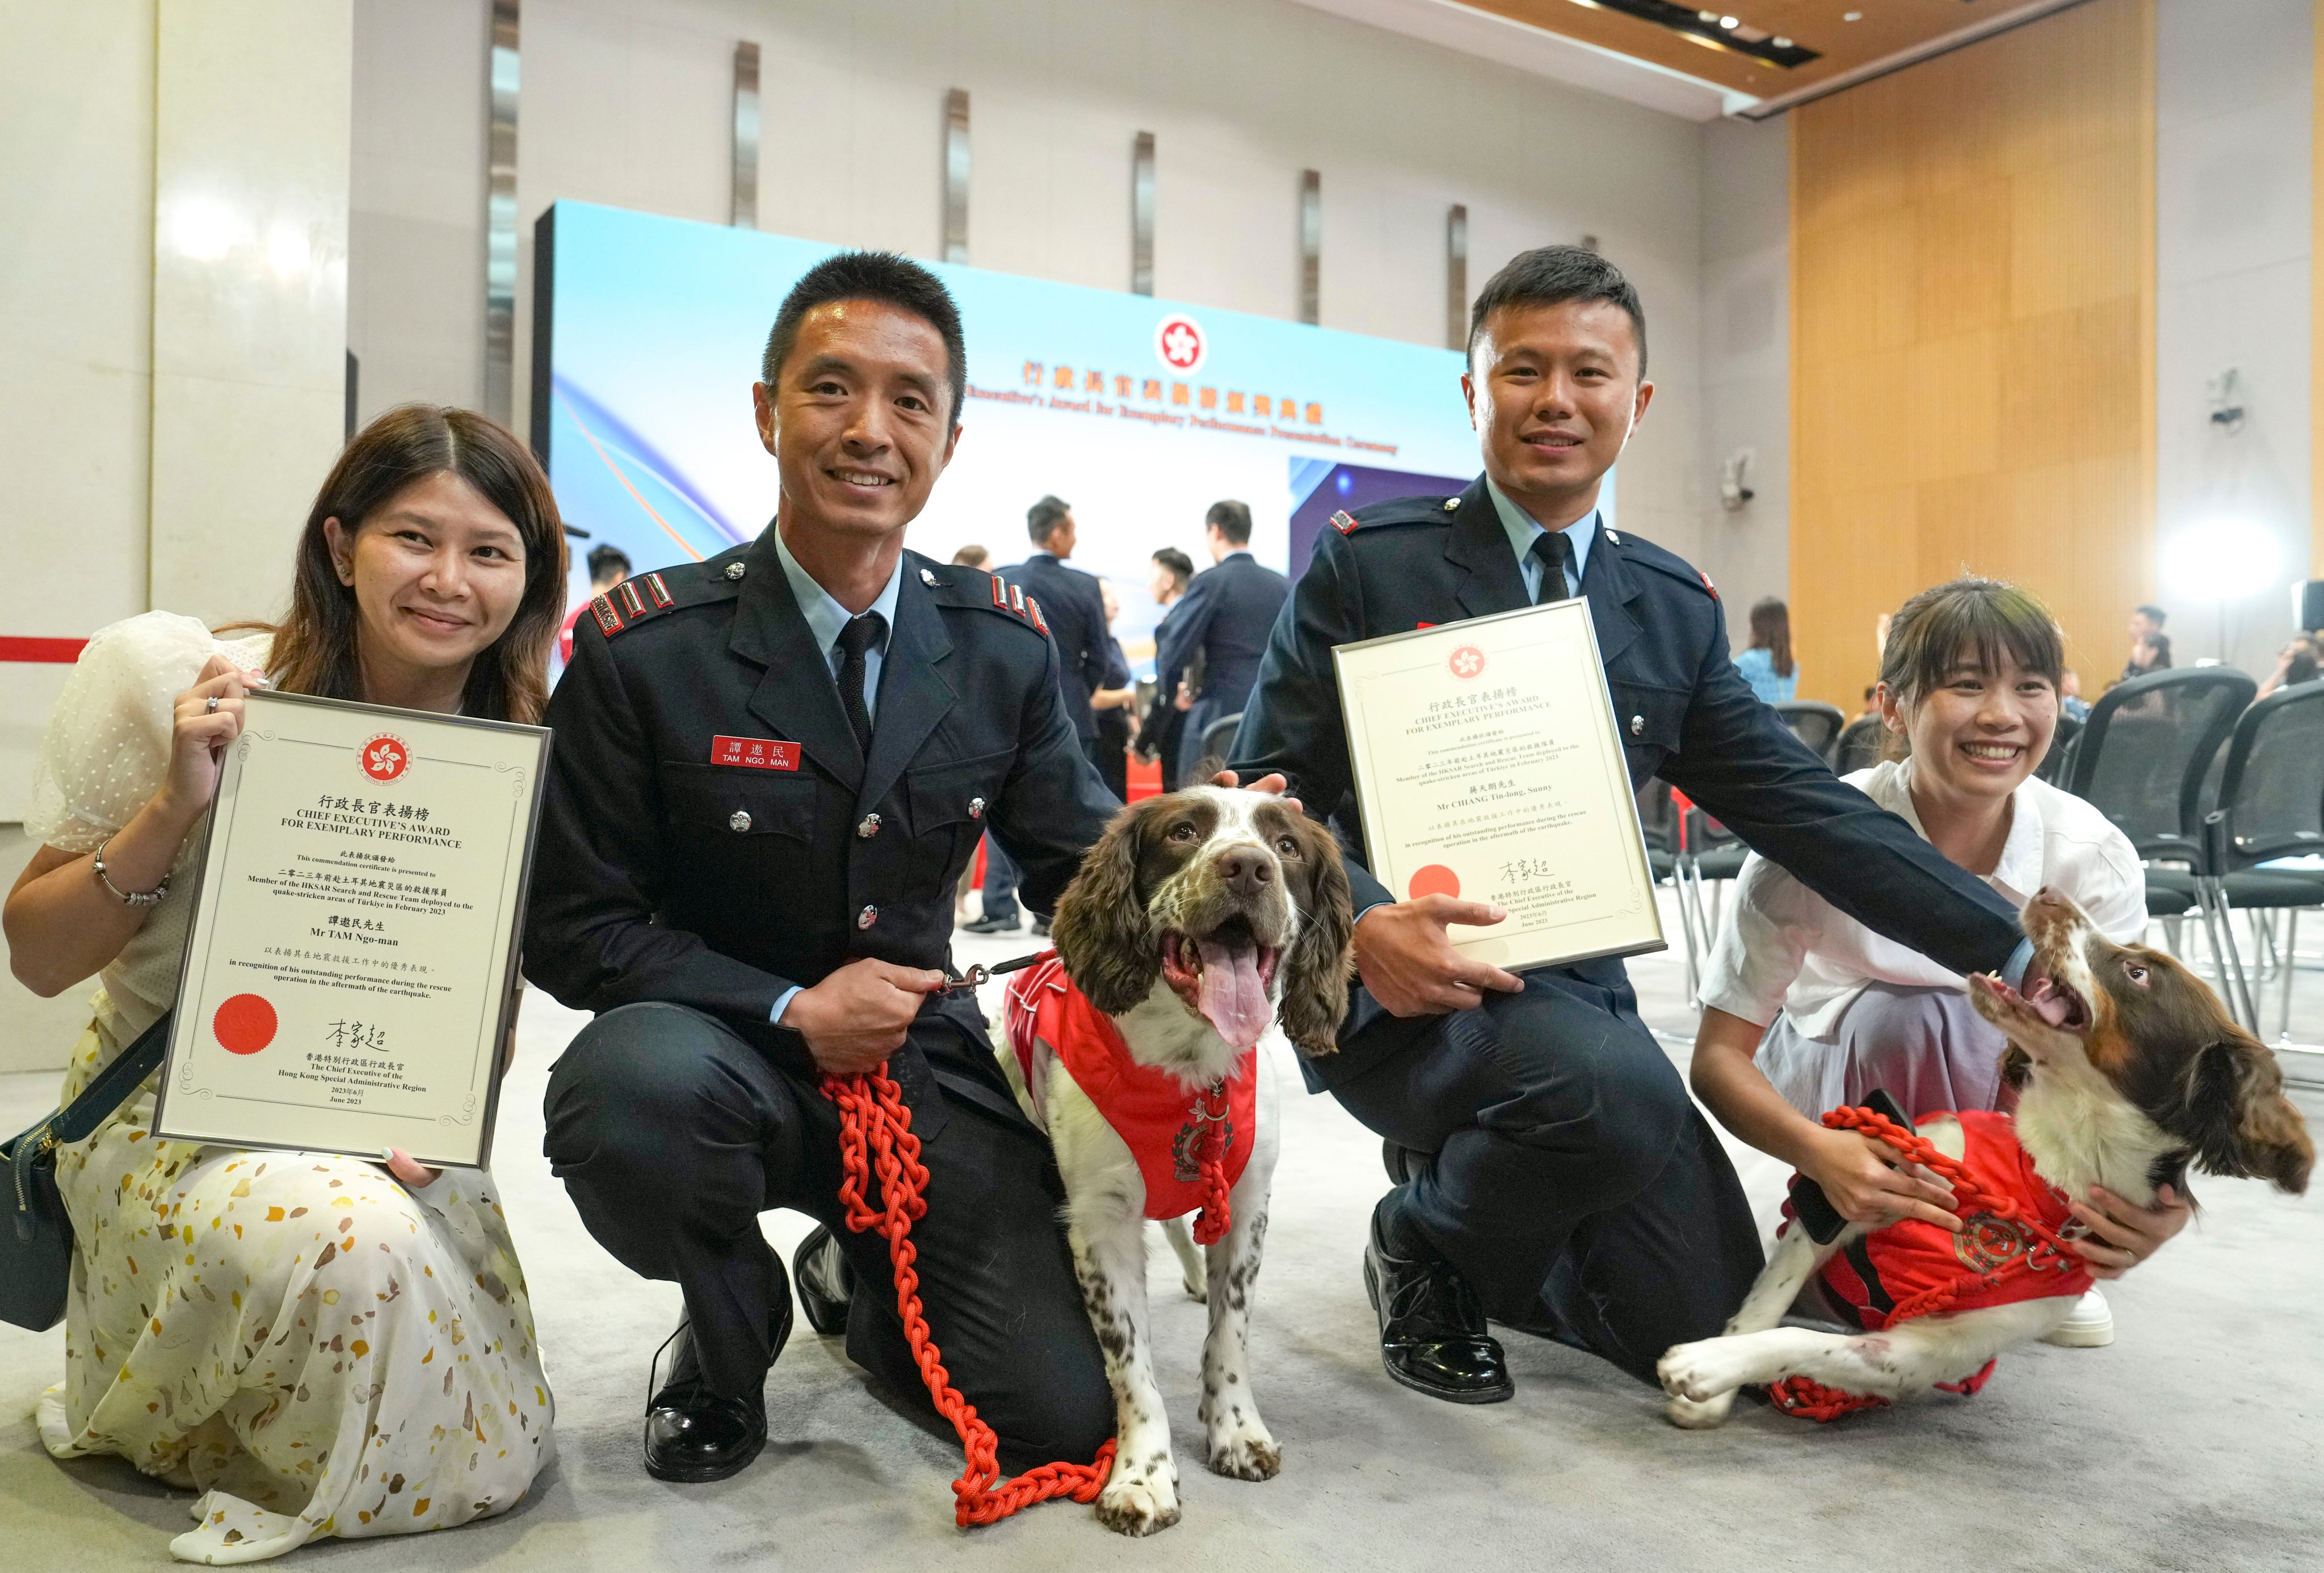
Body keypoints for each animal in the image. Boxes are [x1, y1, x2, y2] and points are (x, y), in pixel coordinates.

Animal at [994, 785, 1357, 1533]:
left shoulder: (1246, 1203)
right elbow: (1131, 1365)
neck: (1190, 1068)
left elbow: (1230, 1335)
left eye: (1287, 847)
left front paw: (1236, 1429)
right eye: (1184, 832)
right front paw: (1142, 1474)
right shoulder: (1100, 1222)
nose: (1247, 868)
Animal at [1654, 897, 2305, 1421]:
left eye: (2137, 973)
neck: (2043, 1172)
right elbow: (1770, 1301)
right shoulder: (1857, 1191)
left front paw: (1707, 1368)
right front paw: (1711, 1383)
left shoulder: (1918, 1353)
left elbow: (1799, 1341)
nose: (2047, 893)